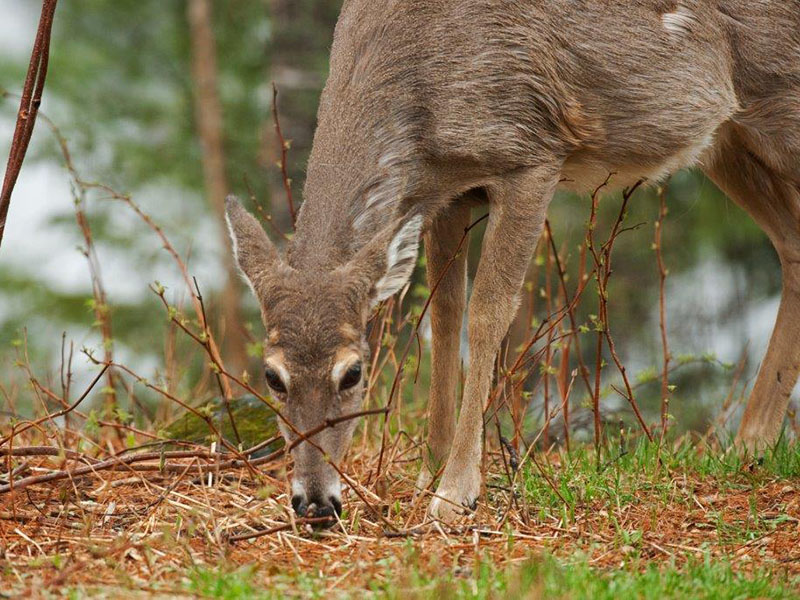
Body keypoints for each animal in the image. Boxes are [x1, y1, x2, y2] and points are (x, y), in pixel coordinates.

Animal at [225, 0, 800, 523]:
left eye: (353, 373)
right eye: (272, 376)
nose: (314, 502)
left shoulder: (530, 152)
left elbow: (487, 314)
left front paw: (455, 493)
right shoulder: (447, 189)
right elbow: (444, 314)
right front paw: (428, 469)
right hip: (729, 141)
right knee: (791, 244)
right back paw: (748, 446)